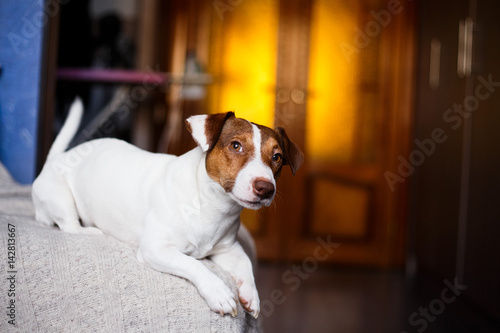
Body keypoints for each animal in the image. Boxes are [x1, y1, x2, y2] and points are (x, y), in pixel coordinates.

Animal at [33, 98, 304, 316]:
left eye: (277, 157)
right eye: (236, 145)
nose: (266, 188)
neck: (210, 204)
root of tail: (57, 158)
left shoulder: (229, 248)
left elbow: (245, 264)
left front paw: (251, 295)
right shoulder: (156, 249)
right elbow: (194, 263)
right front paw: (218, 292)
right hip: (60, 199)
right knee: (68, 225)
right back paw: (88, 230)